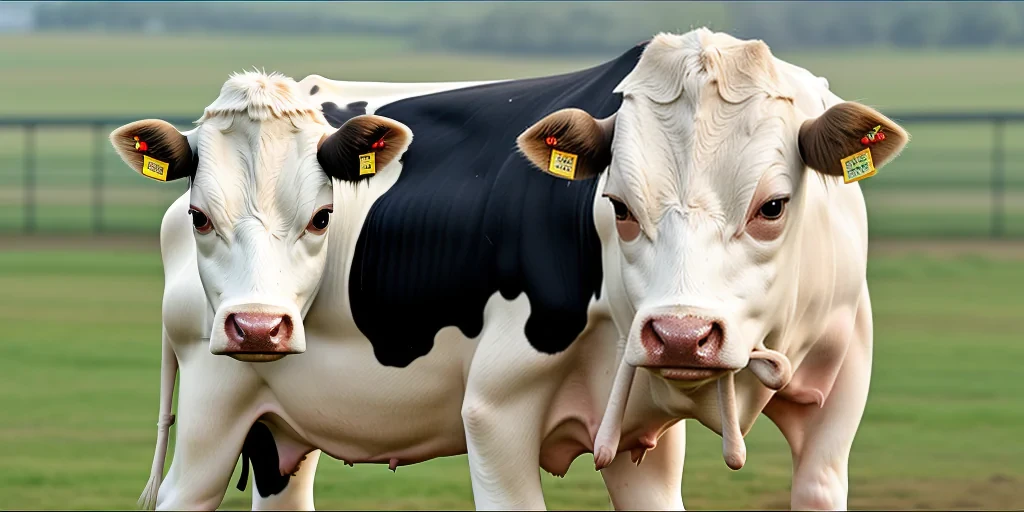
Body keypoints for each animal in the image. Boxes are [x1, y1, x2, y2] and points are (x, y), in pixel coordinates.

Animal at [111, 28, 908, 511]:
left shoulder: (826, 417)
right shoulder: (495, 410)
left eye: (773, 206)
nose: (682, 336)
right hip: (213, 407)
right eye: (617, 206)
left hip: (278, 427)